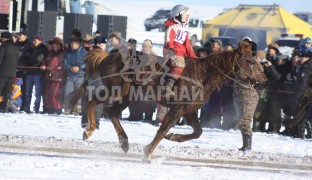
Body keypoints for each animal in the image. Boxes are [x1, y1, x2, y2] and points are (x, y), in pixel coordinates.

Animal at [68, 41, 268, 162]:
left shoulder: (189, 111)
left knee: (112, 112)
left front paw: (172, 137)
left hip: (127, 95)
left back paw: (124, 142)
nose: (264, 81)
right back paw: (89, 130)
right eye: (250, 61)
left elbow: (198, 132)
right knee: (92, 100)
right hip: (113, 89)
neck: (204, 75)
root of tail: (108, 56)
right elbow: (163, 128)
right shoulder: (177, 109)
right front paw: (148, 153)